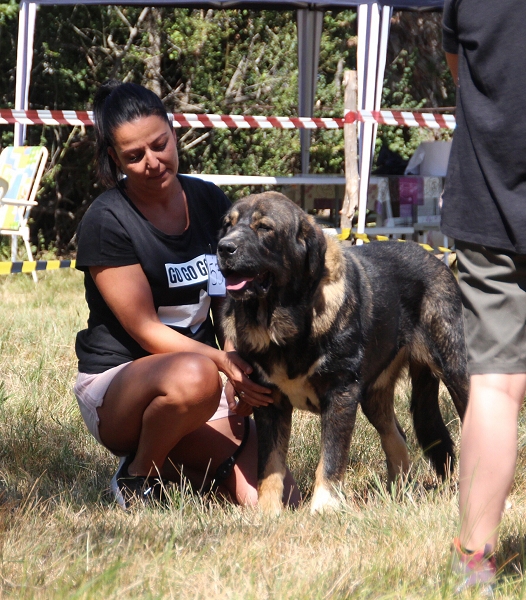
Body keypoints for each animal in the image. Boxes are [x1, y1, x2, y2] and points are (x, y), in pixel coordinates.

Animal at [218, 192, 470, 516]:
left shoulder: (340, 393)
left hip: (453, 366)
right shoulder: (268, 400)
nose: (224, 247)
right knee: (396, 437)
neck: (285, 321)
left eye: (264, 228)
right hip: (374, 396)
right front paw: (267, 513)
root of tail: (435, 259)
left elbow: (331, 458)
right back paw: (399, 495)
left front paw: (323, 508)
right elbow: (270, 466)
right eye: (228, 225)